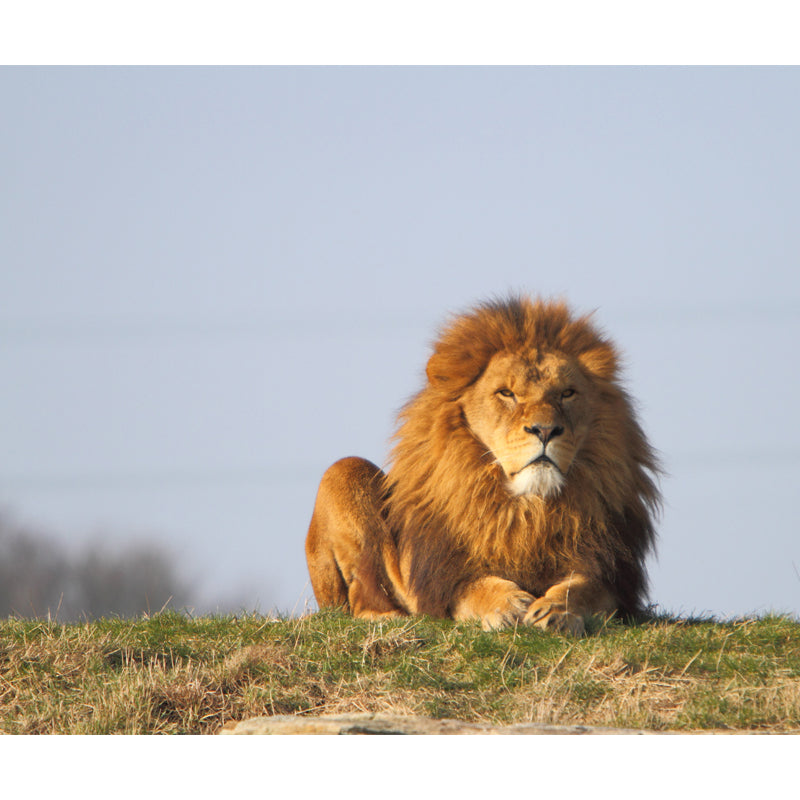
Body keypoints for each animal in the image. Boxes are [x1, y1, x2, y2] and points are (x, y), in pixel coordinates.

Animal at [305, 296, 660, 635]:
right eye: (506, 393)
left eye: (567, 393)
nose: (545, 430)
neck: (527, 510)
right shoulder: (443, 577)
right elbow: (474, 587)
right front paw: (507, 605)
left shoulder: (612, 575)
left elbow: (583, 588)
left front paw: (557, 610)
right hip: (345, 473)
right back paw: (387, 619)